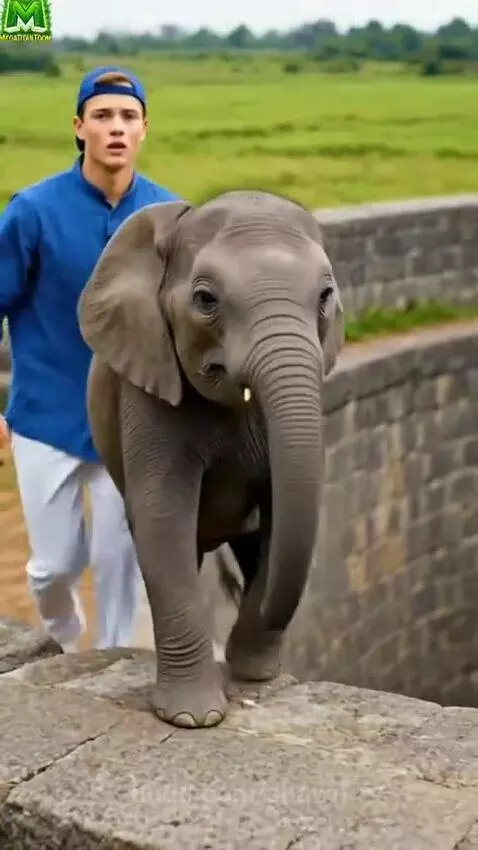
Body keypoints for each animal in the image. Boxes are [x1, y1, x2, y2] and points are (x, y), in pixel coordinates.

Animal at [77, 189, 344, 730]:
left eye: (326, 296)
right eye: (206, 300)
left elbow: (283, 511)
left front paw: (253, 676)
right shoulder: (148, 383)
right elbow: (163, 515)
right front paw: (192, 719)